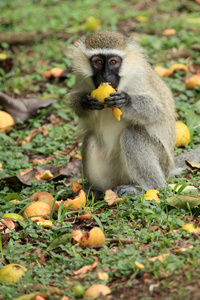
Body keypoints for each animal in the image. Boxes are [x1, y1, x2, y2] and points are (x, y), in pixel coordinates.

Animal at [69, 29, 176, 196]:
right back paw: (96, 191)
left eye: (113, 62)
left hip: (162, 161)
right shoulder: (81, 77)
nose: (105, 75)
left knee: (133, 135)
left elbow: (156, 111)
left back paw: (147, 187)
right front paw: (86, 102)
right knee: (90, 138)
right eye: (98, 62)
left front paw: (125, 101)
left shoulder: (139, 76)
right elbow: (75, 103)